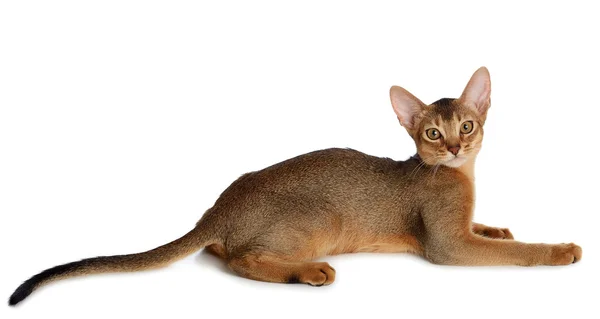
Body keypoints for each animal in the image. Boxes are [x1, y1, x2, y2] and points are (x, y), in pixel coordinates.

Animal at [8, 67, 580, 308]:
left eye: (468, 125)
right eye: (433, 134)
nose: (457, 148)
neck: (458, 175)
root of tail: (216, 210)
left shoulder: (463, 229)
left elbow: (491, 232)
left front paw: (500, 228)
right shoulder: (446, 244)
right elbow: (518, 253)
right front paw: (561, 250)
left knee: (223, 253)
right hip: (322, 218)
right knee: (241, 261)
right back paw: (309, 272)